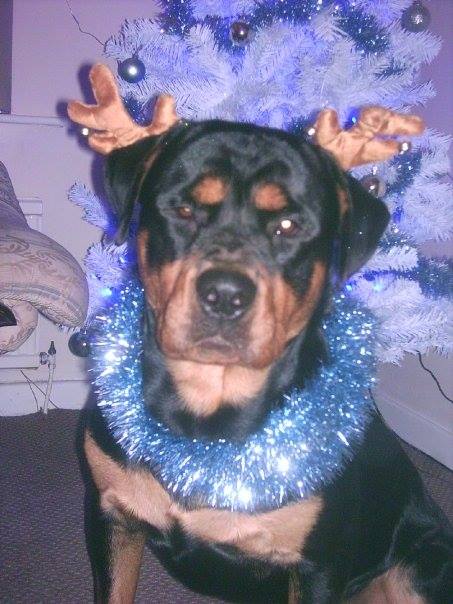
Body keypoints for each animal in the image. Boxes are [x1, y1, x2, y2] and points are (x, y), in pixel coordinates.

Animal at [69, 63, 450, 600]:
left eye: (289, 225)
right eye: (183, 209)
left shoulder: (316, 567)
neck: (206, 421)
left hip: (418, 567)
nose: (225, 294)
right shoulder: (112, 517)